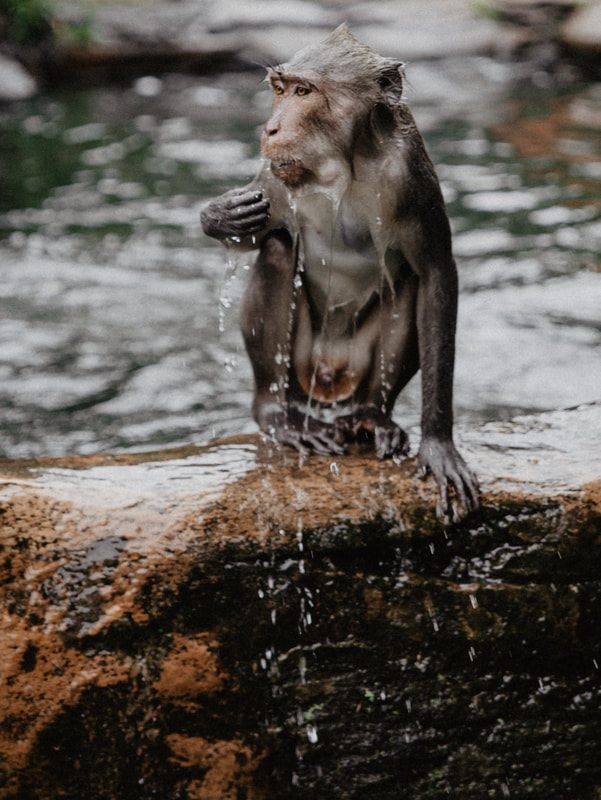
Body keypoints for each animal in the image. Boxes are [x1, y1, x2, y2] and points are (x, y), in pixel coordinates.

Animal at [201, 24, 479, 520]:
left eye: (304, 92)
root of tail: (331, 379)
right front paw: (220, 216)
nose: (271, 128)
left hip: (357, 366)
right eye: (279, 89)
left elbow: (435, 274)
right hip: (301, 371)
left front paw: (438, 443)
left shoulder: (412, 173)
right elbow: (253, 236)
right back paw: (277, 415)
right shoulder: (275, 177)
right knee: (278, 253)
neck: (342, 163)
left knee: (409, 284)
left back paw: (371, 416)